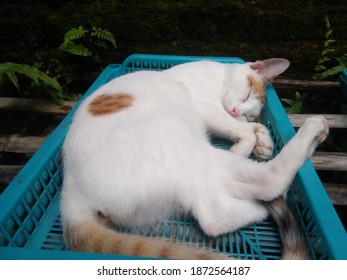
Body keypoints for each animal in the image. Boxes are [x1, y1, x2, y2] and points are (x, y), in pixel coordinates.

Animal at [59, 58, 328, 260]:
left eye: (250, 112)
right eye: (247, 93)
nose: (236, 111)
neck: (218, 76)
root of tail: (71, 197)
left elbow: (248, 129)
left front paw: (263, 141)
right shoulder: (206, 106)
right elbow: (241, 132)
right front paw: (246, 145)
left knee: (214, 211)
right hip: (186, 142)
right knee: (246, 194)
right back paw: (314, 130)